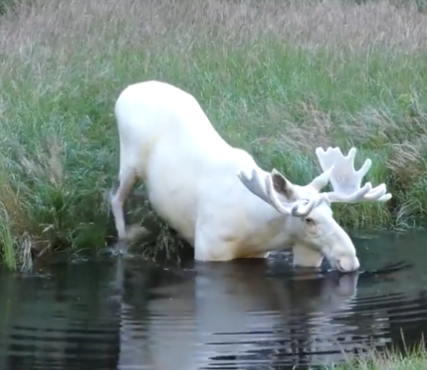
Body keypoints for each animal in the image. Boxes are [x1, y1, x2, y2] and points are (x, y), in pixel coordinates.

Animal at [109, 80, 392, 272]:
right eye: (309, 220)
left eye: (332, 213)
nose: (349, 260)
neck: (259, 231)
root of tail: (126, 91)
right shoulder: (208, 249)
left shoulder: (256, 255)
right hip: (128, 163)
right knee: (116, 198)